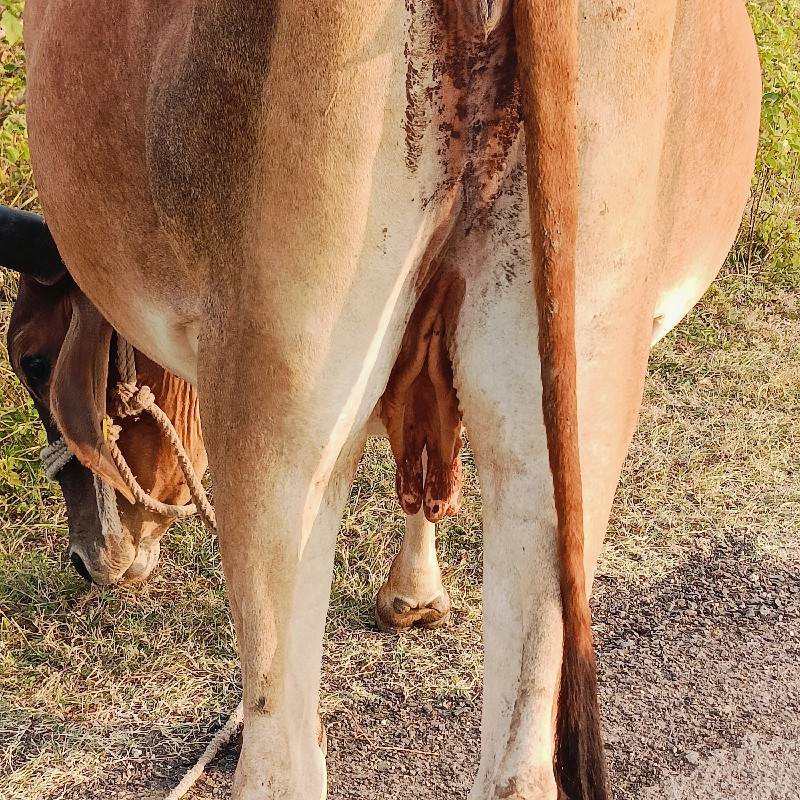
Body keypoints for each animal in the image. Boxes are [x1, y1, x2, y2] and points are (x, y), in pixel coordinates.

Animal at [20, 1, 756, 800]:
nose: (89, 560)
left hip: (282, 409)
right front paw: (417, 595)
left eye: (30, 360)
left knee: (281, 760)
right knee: (518, 760)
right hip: (575, 394)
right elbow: (428, 463)